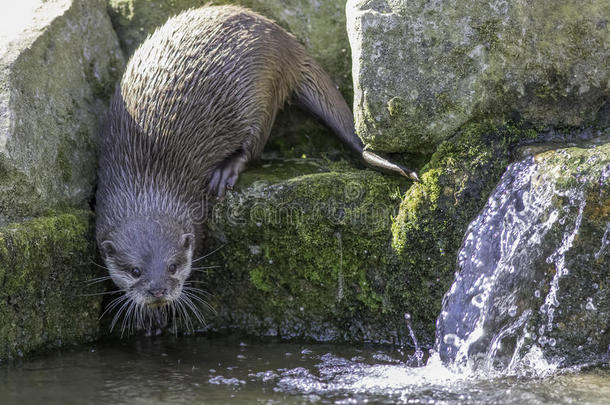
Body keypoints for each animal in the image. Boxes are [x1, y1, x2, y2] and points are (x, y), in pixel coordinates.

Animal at [95, 5, 418, 328]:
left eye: (174, 266)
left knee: (255, 144)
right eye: (135, 271)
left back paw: (226, 171)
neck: (146, 183)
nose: (158, 290)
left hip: (262, 92)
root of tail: (285, 42)